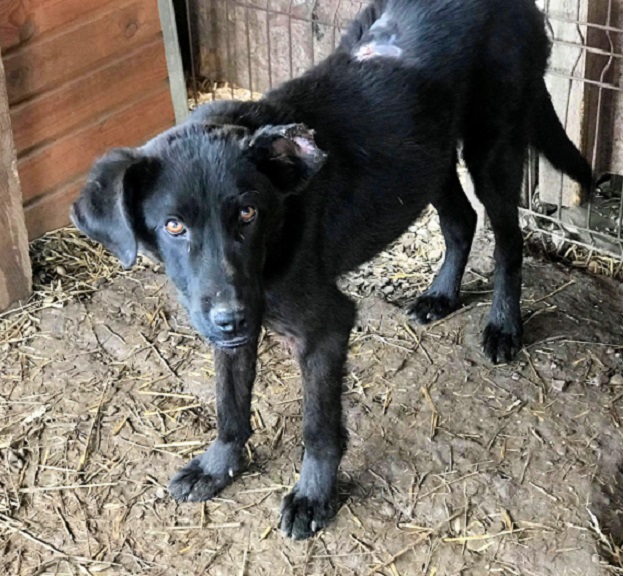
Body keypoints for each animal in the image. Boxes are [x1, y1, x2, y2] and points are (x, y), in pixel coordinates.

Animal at [72, 0, 588, 540]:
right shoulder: (228, 331)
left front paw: (313, 497)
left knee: (508, 241)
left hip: (493, 145)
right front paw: (218, 467)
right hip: (427, 155)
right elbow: (229, 405)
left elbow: (317, 428)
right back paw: (441, 296)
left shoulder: (325, 329)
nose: (231, 318)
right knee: (461, 220)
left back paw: (504, 325)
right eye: (173, 226)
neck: (276, 233)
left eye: (248, 213)